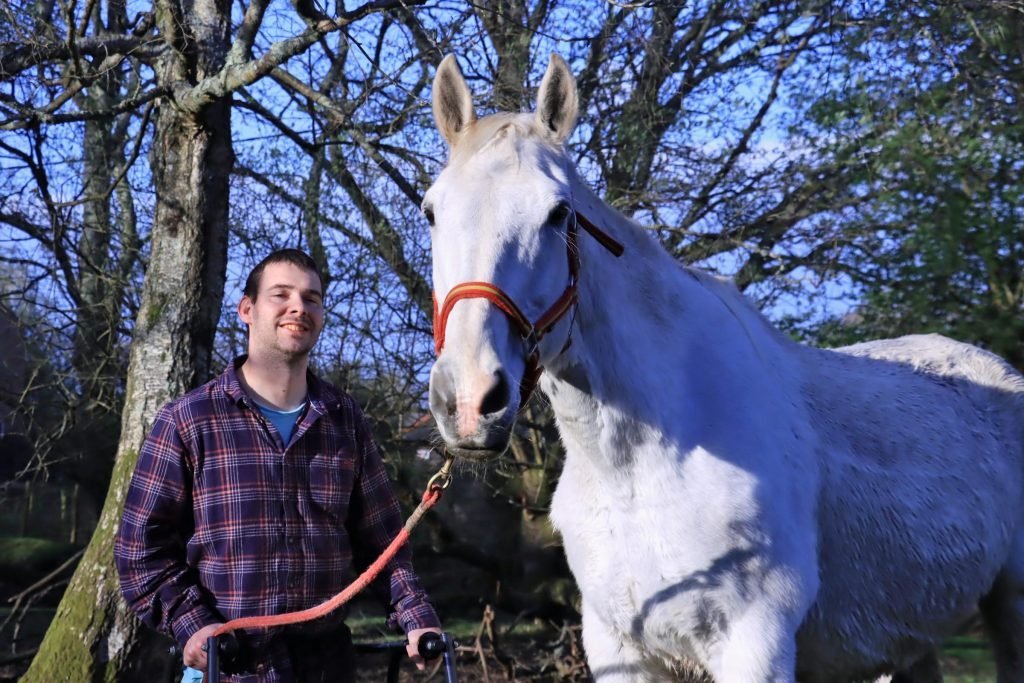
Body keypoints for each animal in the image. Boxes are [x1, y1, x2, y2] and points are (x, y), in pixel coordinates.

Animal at [421, 54, 1024, 683]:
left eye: (558, 213)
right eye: (432, 210)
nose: (469, 401)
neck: (644, 463)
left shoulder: (754, 644)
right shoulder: (619, 649)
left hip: (1011, 608)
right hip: (909, 637)